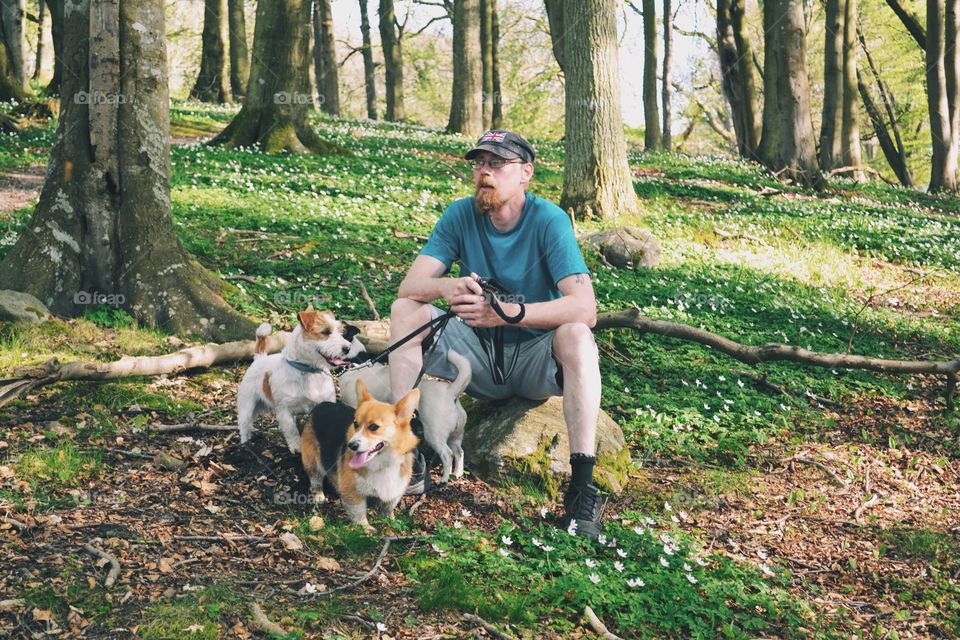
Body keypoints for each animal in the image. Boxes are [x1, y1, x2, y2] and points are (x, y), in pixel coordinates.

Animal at [238, 312, 358, 456]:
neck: (308, 371)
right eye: (325, 332)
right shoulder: (284, 411)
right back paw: (245, 444)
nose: (347, 348)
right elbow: (292, 431)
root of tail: (260, 358)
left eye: (341, 333)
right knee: (244, 425)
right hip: (247, 407)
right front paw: (296, 447)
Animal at [302, 380, 418, 528]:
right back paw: (318, 495)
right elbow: (358, 513)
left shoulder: (395, 490)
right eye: (356, 424)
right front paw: (366, 528)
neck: (382, 463)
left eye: (373, 427)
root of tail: (322, 404)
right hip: (313, 461)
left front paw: (390, 521)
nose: (351, 446)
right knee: (315, 478)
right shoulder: (353, 493)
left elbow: (387, 509)